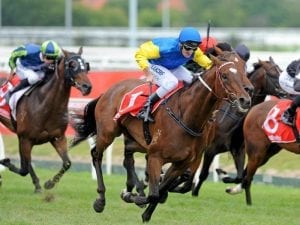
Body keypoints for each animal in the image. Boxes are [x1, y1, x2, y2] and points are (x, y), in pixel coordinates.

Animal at [0, 47, 92, 192]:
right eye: (72, 65)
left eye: (86, 65)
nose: (87, 87)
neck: (45, 105)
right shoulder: (25, 139)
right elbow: (24, 168)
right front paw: (5, 163)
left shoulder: (57, 137)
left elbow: (67, 163)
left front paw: (49, 183)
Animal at [74, 50, 252, 221]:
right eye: (225, 76)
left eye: (243, 70)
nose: (246, 98)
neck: (187, 116)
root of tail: (109, 90)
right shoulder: (155, 157)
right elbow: (154, 194)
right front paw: (131, 196)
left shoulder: (185, 161)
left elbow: (163, 190)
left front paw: (144, 209)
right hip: (108, 132)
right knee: (96, 155)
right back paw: (101, 200)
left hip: (136, 139)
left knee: (127, 157)